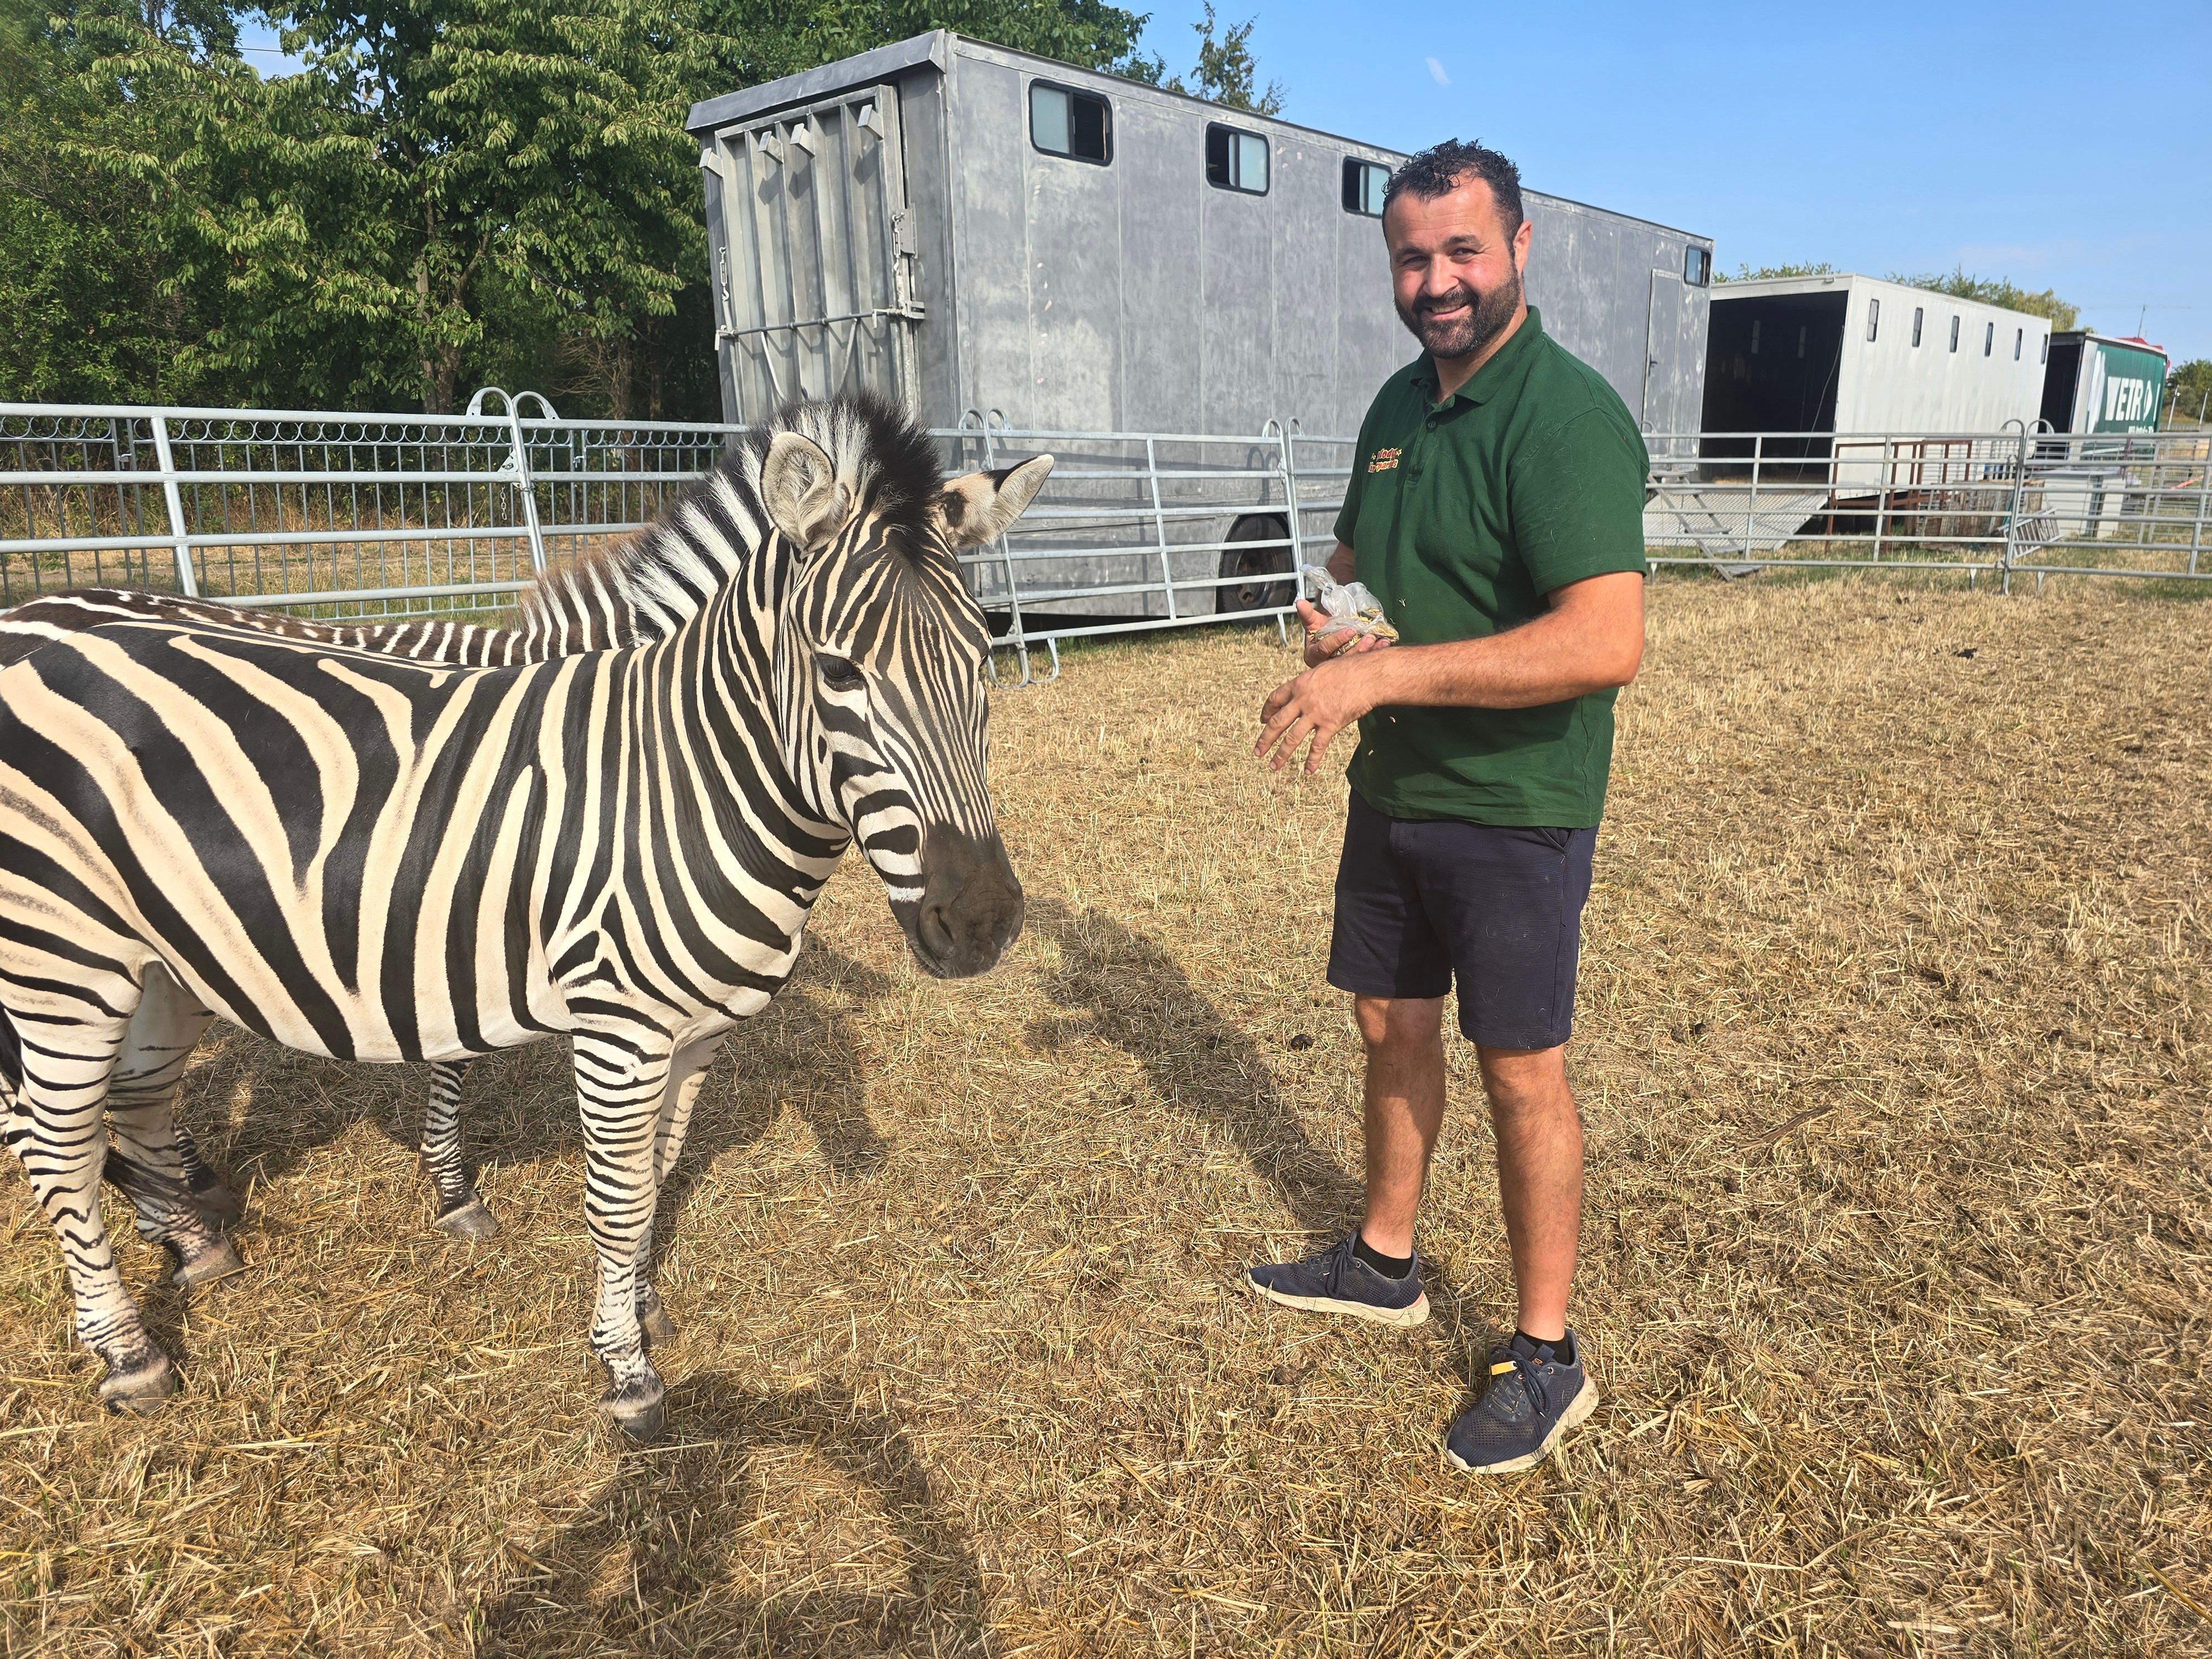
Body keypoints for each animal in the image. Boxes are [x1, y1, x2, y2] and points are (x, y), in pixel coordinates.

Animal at [0, 397, 1050, 1437]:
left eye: (983, 659)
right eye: (838, 673)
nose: (983, 921)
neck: (684, 774)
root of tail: (33, 616)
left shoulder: (693, 1033)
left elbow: (655, 1174)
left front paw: (640, 1304)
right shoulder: (611, 1025)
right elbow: (611, 1196)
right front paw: (624, 1368)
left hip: (161, 960)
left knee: (136, 1103)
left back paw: (191, 1244)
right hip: (60, 957)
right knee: (56, 1147)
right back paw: (129, 1354)